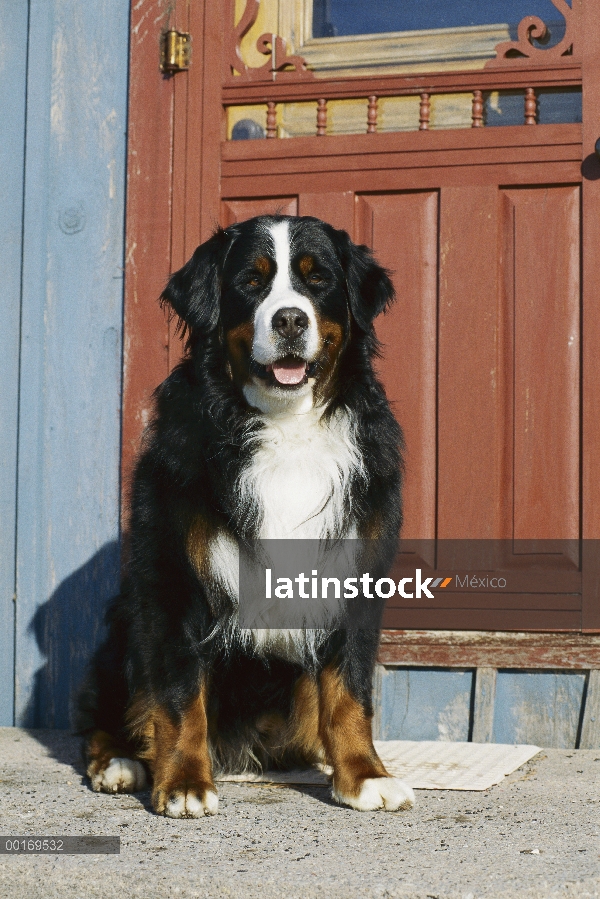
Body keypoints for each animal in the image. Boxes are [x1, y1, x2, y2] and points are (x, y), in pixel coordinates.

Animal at [79, 214, 414, 820]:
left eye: (318, 279)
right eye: (252, 282)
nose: (289, 319)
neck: (286, 427)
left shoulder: (356, 572)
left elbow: (350, 690)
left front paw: (365, 776)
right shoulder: (174, 580)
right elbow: (180, 694)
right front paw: (184, 782)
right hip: (123, 626)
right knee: (103, 713)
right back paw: (118, 762)